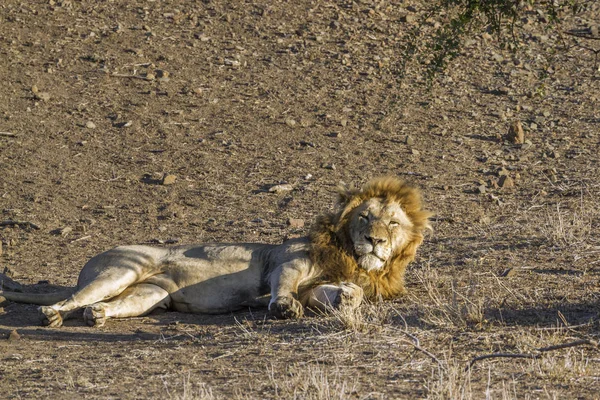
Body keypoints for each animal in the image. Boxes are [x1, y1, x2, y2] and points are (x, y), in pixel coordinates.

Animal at [0, 177, 432, 326]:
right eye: (365, 217)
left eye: (392, 223)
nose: (376, 240)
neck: (352, 255)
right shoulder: (286, 263)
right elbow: (284, 289)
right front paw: (283, 308)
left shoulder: (318, 286)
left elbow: (338, 293)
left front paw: (347, 297)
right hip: (121, 269)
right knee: (70, 299)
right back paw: (52, 314)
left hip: (149, 295)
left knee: (102, 305)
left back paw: (98, 316)